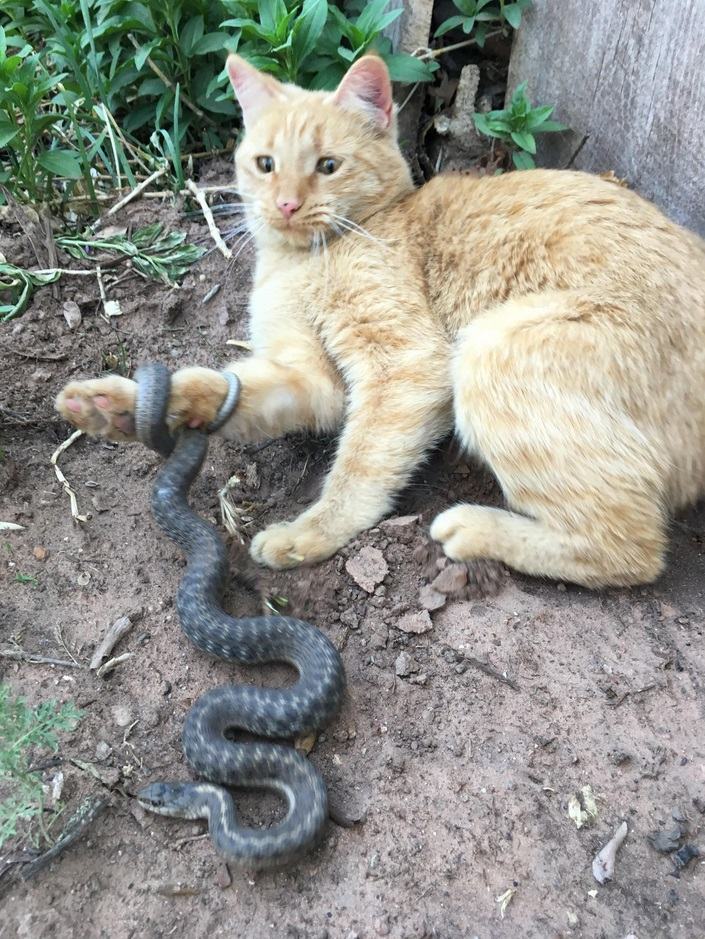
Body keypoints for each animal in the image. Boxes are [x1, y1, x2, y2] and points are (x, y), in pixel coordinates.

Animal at [57, 53, 704, 588]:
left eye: (328, 165)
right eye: (265, 164)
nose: (286, 204)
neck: (304, 261)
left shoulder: (406, 364)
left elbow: (359, 467)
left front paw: (309, 533)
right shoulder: (310, 380)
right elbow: (220, 385)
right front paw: (120, 406)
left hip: (491, 350)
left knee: (632, 549)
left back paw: (476, 529)